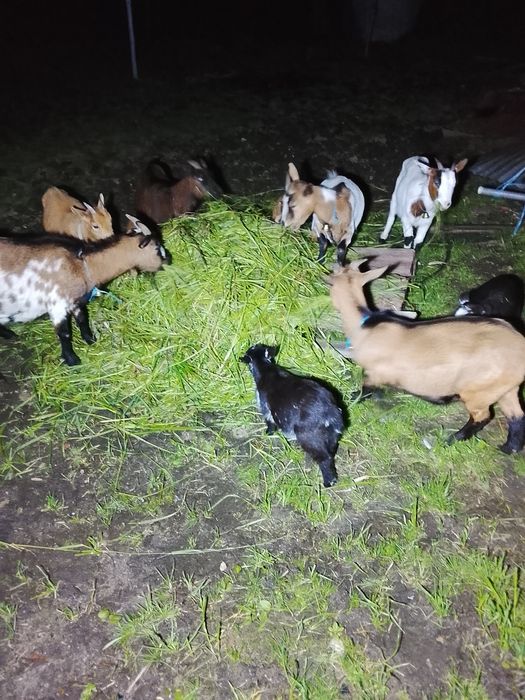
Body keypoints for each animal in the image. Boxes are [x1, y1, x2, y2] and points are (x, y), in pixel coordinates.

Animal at [0, 220, 168, 365]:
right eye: (156, 247)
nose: (168, 260)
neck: (83, 265)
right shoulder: (57, 305)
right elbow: (64, 334)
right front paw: (72, 360)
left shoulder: (75, 302)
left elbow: (82, 319)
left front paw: (91, 340)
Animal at [240, 344, 344, 487]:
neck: (266, 369)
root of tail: (331, 412)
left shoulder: (265, 408)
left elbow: (269, 422)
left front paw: (268, 433)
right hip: (332, 436)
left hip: (310, 438)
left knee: (325, 458)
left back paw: (328, 482)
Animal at [328, 260, 525, 453]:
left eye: (331, 282)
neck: (365, 325)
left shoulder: (375, 373)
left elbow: (365, 390)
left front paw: (351, 399)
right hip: (506, 389)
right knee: (517, 417)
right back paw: (508, 448)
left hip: (478, 392)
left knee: (482, 417)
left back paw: (453, 439)